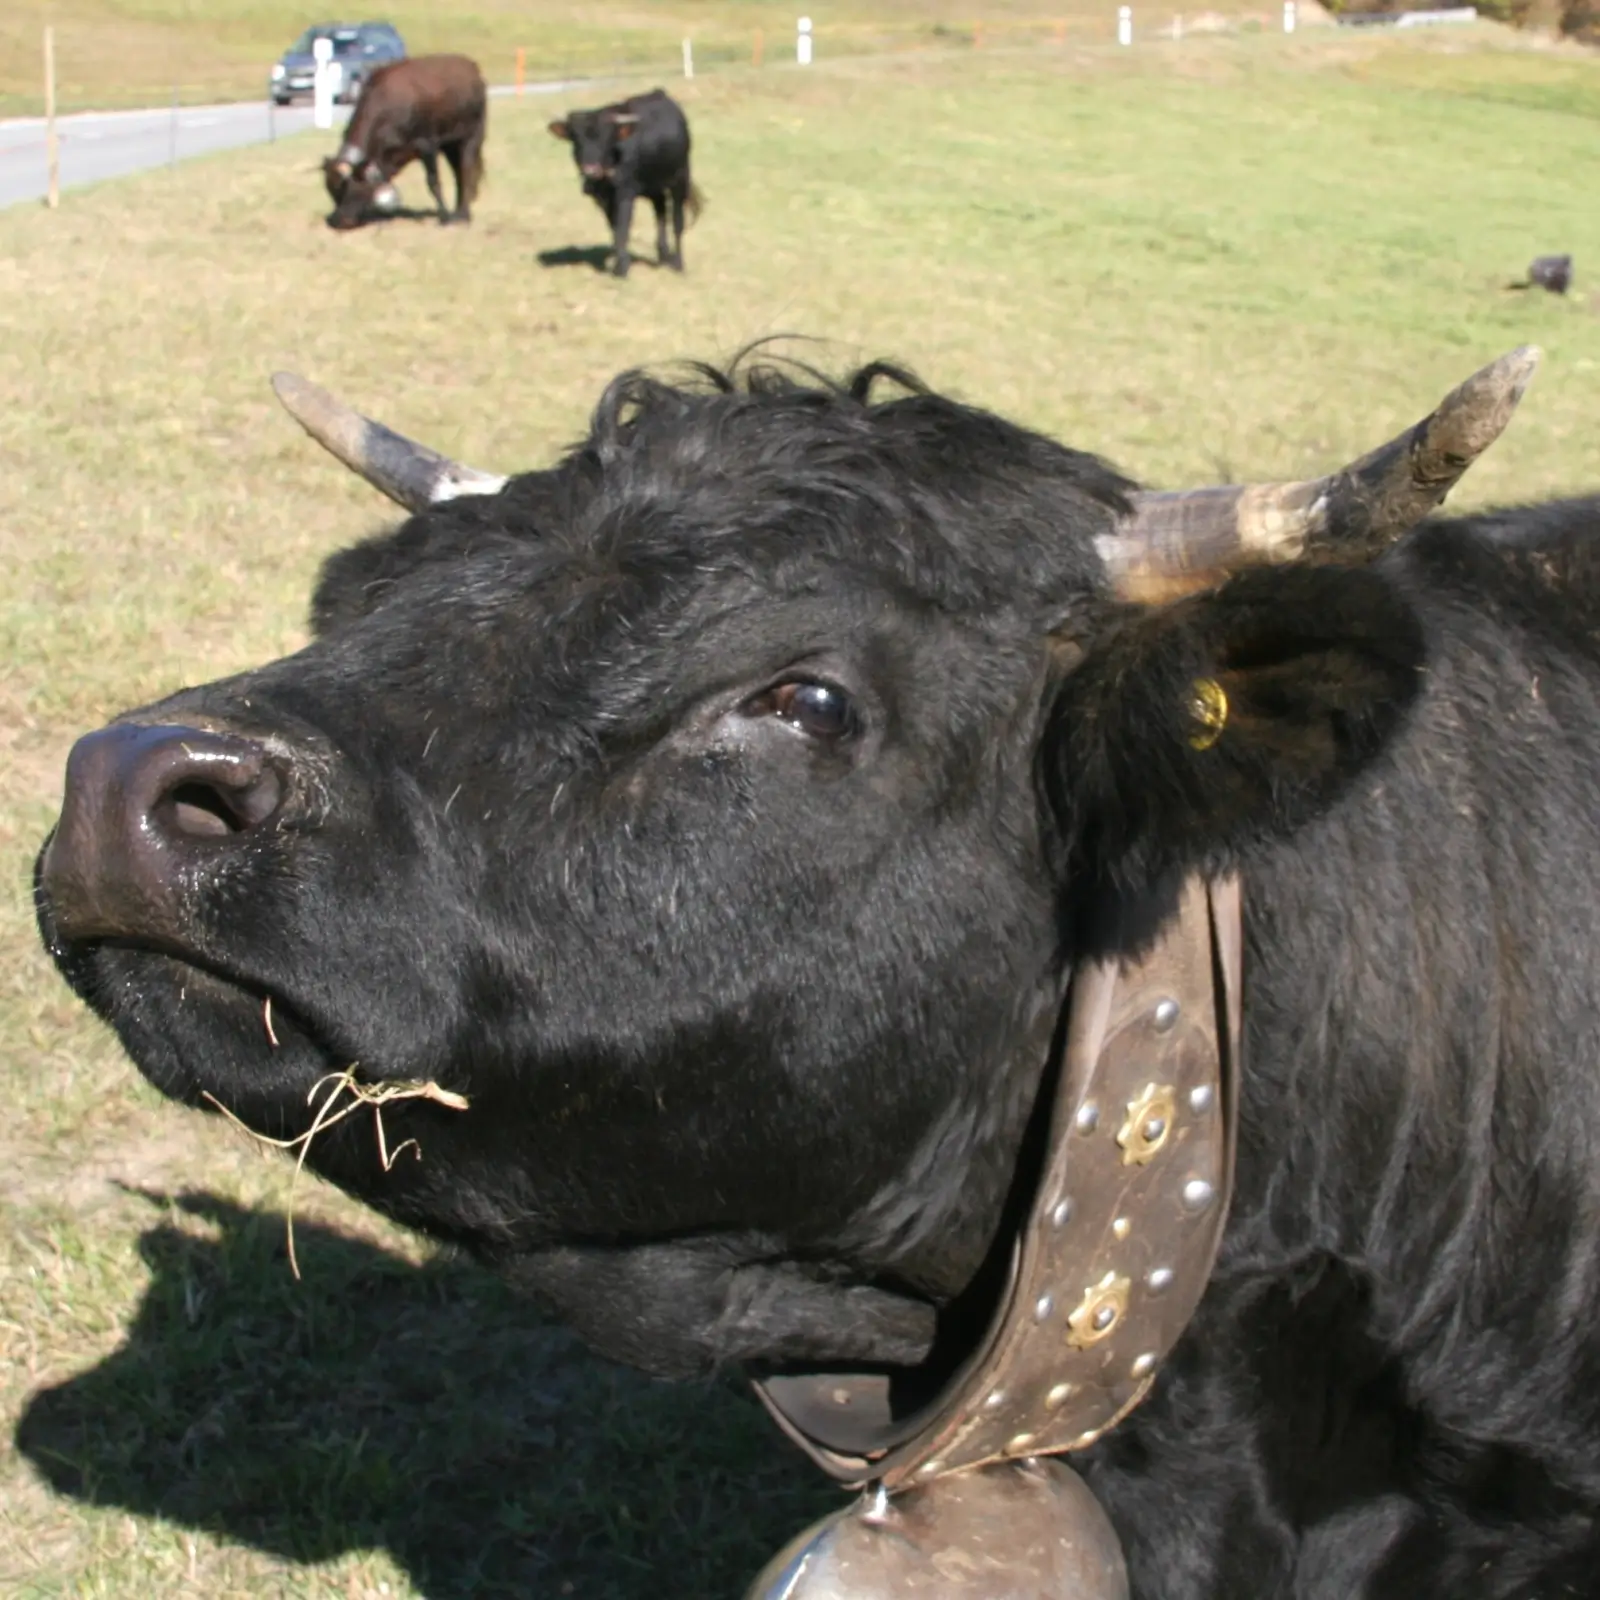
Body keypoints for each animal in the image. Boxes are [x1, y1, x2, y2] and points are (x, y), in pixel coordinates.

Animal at [322, 54, 486, 231]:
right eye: (331, 191)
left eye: (344, 187)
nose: (338, 221)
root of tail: (470, 65)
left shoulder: (427, 146)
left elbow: (433, 182)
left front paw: (445, 217)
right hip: (450, 145)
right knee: (458, 173)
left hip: (472, 136)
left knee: (467, 170)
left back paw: (463, 215)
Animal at [547, 88, 699, 277]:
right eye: (575, 138)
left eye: (607, 138)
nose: (591, 170)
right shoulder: (603, 199)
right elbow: (614, 227)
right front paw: (617, 263)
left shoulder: (625, 194)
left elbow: (623, 227)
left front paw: (621, 269)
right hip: (655, 188)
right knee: (661, 213)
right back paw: (663, 255)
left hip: (680, 179)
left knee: (678, 221)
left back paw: (678, 263)